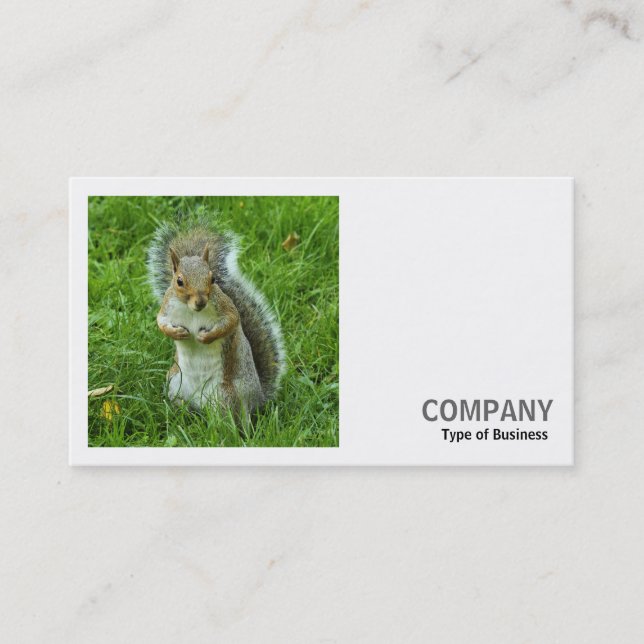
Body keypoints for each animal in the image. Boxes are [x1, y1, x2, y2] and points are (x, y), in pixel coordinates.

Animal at [147, 213, 285, 419]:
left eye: (212, 279)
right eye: (179, 281)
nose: (201, 302)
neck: (191, 310)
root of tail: (257, 399)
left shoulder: (226, 308)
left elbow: (231, 321)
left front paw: (206, 337)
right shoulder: (167, 307)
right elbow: (161, 322)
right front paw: (177, 333)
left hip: (227, 396)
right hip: (174, 382)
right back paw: (178, 415)